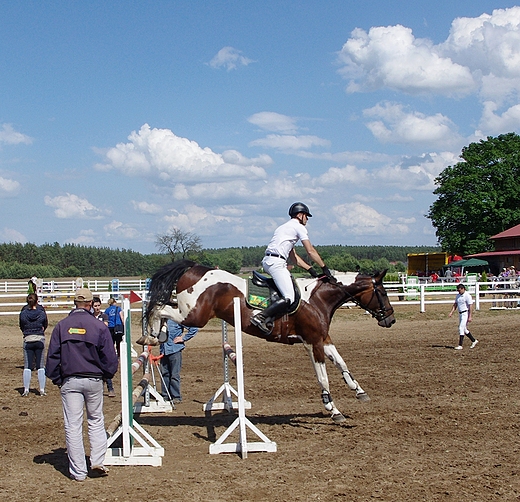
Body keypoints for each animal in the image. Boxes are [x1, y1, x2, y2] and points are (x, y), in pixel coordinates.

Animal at [142, 260, 394, 422]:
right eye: (382, 292)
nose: (390, 319)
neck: (318, 298)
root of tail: (194, 268)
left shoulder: (323, 339)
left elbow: (342, 364)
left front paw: (359, 391)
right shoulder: (313, 342)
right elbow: (323, 378)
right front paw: (333, 409)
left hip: (190, 312)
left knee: (164, 305)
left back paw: (158, 334)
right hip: (194, 315)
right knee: (159, 307)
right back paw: (151, 335)